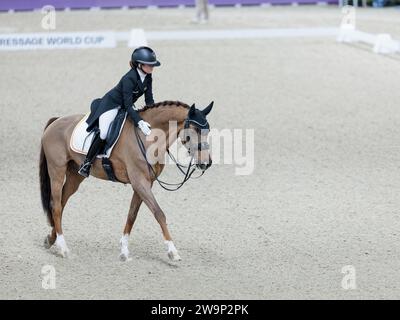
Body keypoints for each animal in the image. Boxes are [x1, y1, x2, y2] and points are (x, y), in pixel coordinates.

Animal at [38, 100, 212, 260]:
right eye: (195, 130)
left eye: (208, 130)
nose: (206, 163)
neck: (148, 138)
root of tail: (56, 121)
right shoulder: (140, 182)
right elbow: (159, 213)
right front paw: (172, 251)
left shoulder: (144, 184)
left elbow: (132, 214)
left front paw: (124, 251)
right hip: (57, 170)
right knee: (56, 206)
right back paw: (63, 248)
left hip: (75, 175)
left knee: (62, 203)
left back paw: (51, 239)